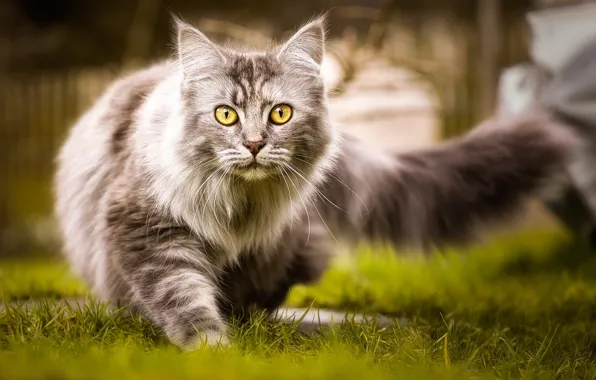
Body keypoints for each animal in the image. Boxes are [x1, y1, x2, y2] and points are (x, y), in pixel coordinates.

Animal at [54, 17, 576, 350]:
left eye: (280, 114)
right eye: (226, 115)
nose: (254, 144)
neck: (239, 206)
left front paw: (225, 338)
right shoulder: (147, 229)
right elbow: (182, 294)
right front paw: (211, 346)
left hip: (295, 240)